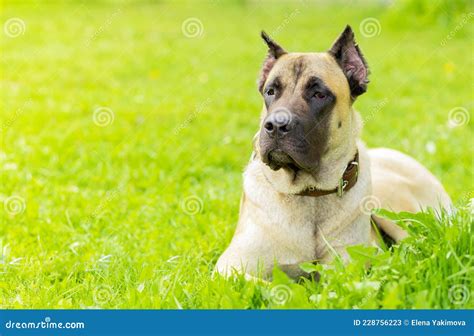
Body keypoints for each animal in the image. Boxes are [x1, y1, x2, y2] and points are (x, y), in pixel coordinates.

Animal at [215, 25, 452, 278]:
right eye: (271, 91)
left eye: (319, 94)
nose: (276, 125)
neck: (310, 194)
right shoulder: (230, 267)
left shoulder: (350, 265)